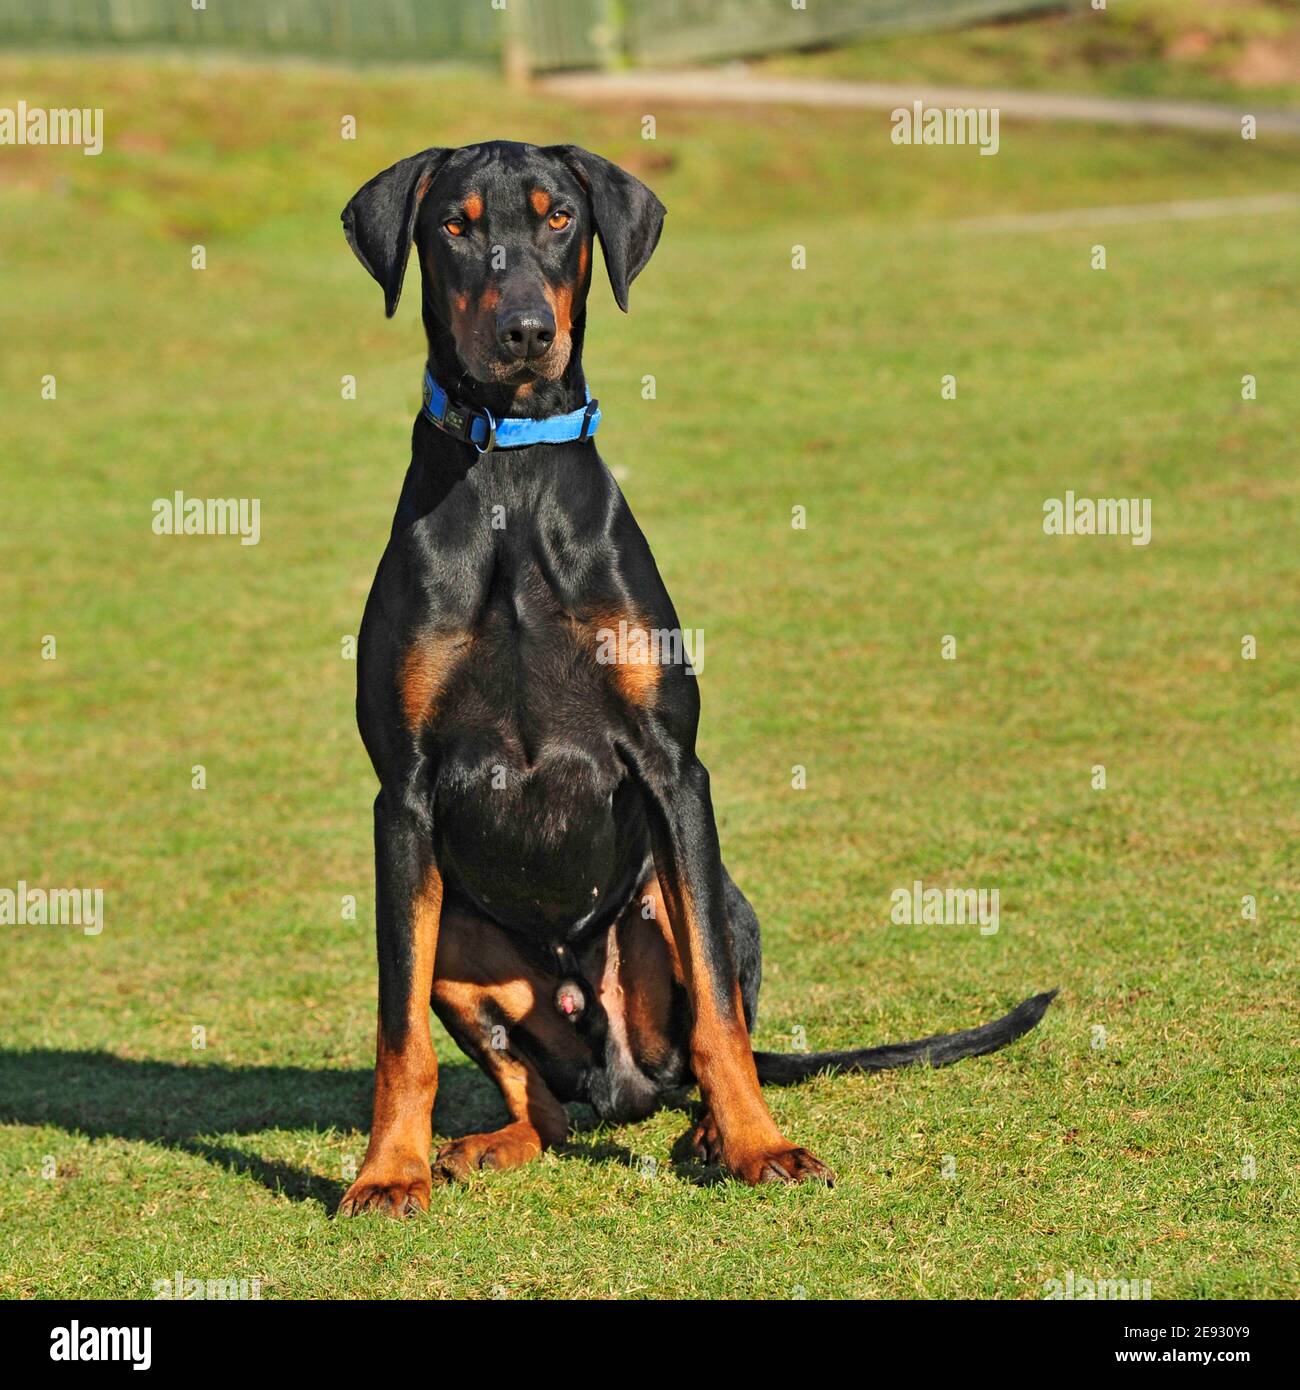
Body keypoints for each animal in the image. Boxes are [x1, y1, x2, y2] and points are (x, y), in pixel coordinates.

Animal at [337, 135, 1056, 1212]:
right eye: (454, 226)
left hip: (703, 899)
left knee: (701, 1039)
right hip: (459, 939)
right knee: (546, 1108)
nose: (524, 332)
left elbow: (720, 1014)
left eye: (559, 218)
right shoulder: (405, 798)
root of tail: (618, 1072)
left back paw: (714, 1132)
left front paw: (762, 1145)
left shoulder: (674, 769)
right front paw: (389, 1169)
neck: (511, 474)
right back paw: (485, 1143)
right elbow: (399, 1036)